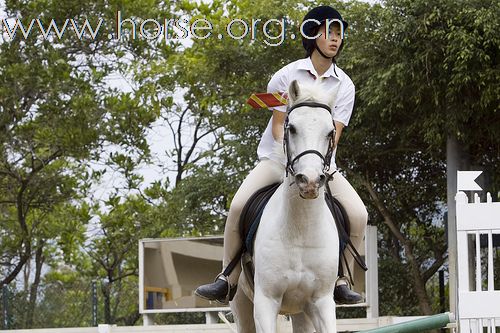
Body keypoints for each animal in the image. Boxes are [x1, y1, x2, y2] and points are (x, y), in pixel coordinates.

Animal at [230, 80, 340, 332]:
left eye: (330, 132)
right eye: (292, 129)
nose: (309, 181)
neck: (301, 230)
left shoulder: (321, 302)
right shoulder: (266, 302)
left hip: (301, 312)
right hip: (241, 304)